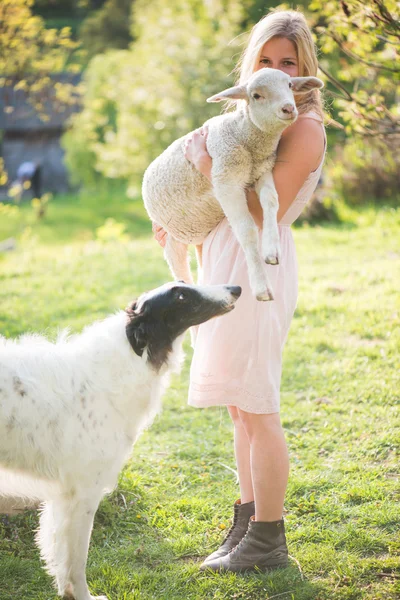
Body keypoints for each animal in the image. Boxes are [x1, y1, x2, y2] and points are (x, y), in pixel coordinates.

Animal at [0, 282, 241, 600]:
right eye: (181, 295)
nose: (237, 288)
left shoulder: (62, 496)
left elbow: (60, 558)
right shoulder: (82, 493)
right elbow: (75, 561)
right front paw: (85, 596)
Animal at [142, 68, 324, 300]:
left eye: (290, 85)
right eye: (256, 95)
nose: (288, 108)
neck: (245, 136)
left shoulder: (263, 171)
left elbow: (271, 200)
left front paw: (271, 249)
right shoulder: (226, 182)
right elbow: (247, 230)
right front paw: (261, 286)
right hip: (172, 239)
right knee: (180, 270)